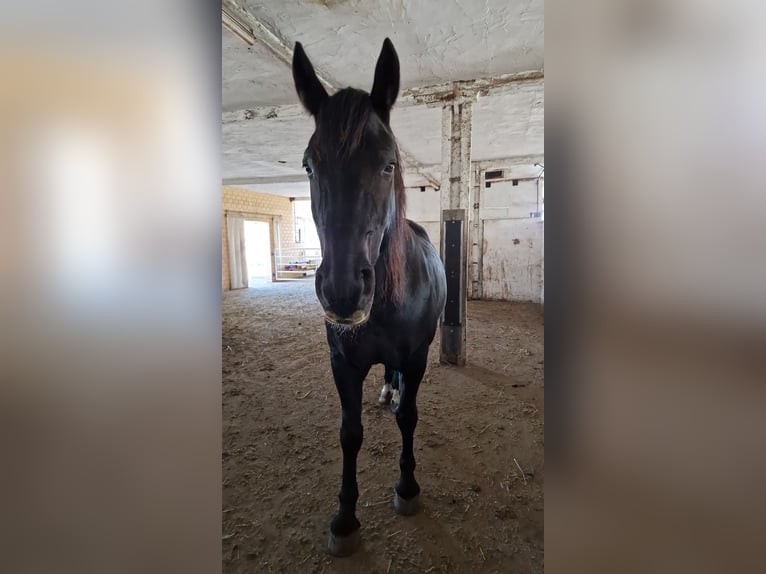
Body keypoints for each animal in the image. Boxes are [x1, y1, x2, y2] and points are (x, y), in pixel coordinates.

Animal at [292, 38, 448, 556]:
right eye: (309, 164)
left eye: (388, 163)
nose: (342, 290)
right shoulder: (343, 364)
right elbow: (350, 434)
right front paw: (344, 518)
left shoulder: (417, 358)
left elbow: (410, 418)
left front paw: (407, 487)